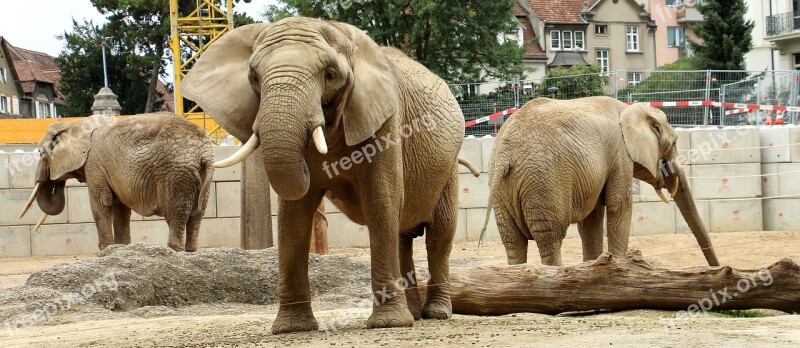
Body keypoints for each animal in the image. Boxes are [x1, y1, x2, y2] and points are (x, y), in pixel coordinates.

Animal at [21, 114, 216, 253]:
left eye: (40, 153)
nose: (56, 180)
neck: (75, 123)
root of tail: (203, 151)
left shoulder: (95, 163)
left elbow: (100, 204)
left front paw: (105, 252)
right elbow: (120, 208)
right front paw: (121, 249)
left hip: (175, 174)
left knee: (176, 215)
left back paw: (174, 251)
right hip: (201, 173)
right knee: (197, 215)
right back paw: (191, 251)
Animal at [181, 17, 468, 334]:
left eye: (330, 75)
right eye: (254, 77)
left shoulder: (386, 121)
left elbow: (381, 200)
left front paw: (388, 324)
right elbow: (294, 214)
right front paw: (292, 328)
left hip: (449, 169)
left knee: (439, 236)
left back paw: (435, 313)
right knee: (403, 236)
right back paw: (414, 315)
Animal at [478, 96, 720, 268]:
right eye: (674, 143)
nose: (717, 267)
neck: (629, 109)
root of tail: (505, 152)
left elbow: (591, 220)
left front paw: (593, 269)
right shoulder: (620, 154)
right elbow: (619, 206)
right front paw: (620, 268)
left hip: (502, 187)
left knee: (512, 241)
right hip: (544, 182)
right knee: (550, 239)